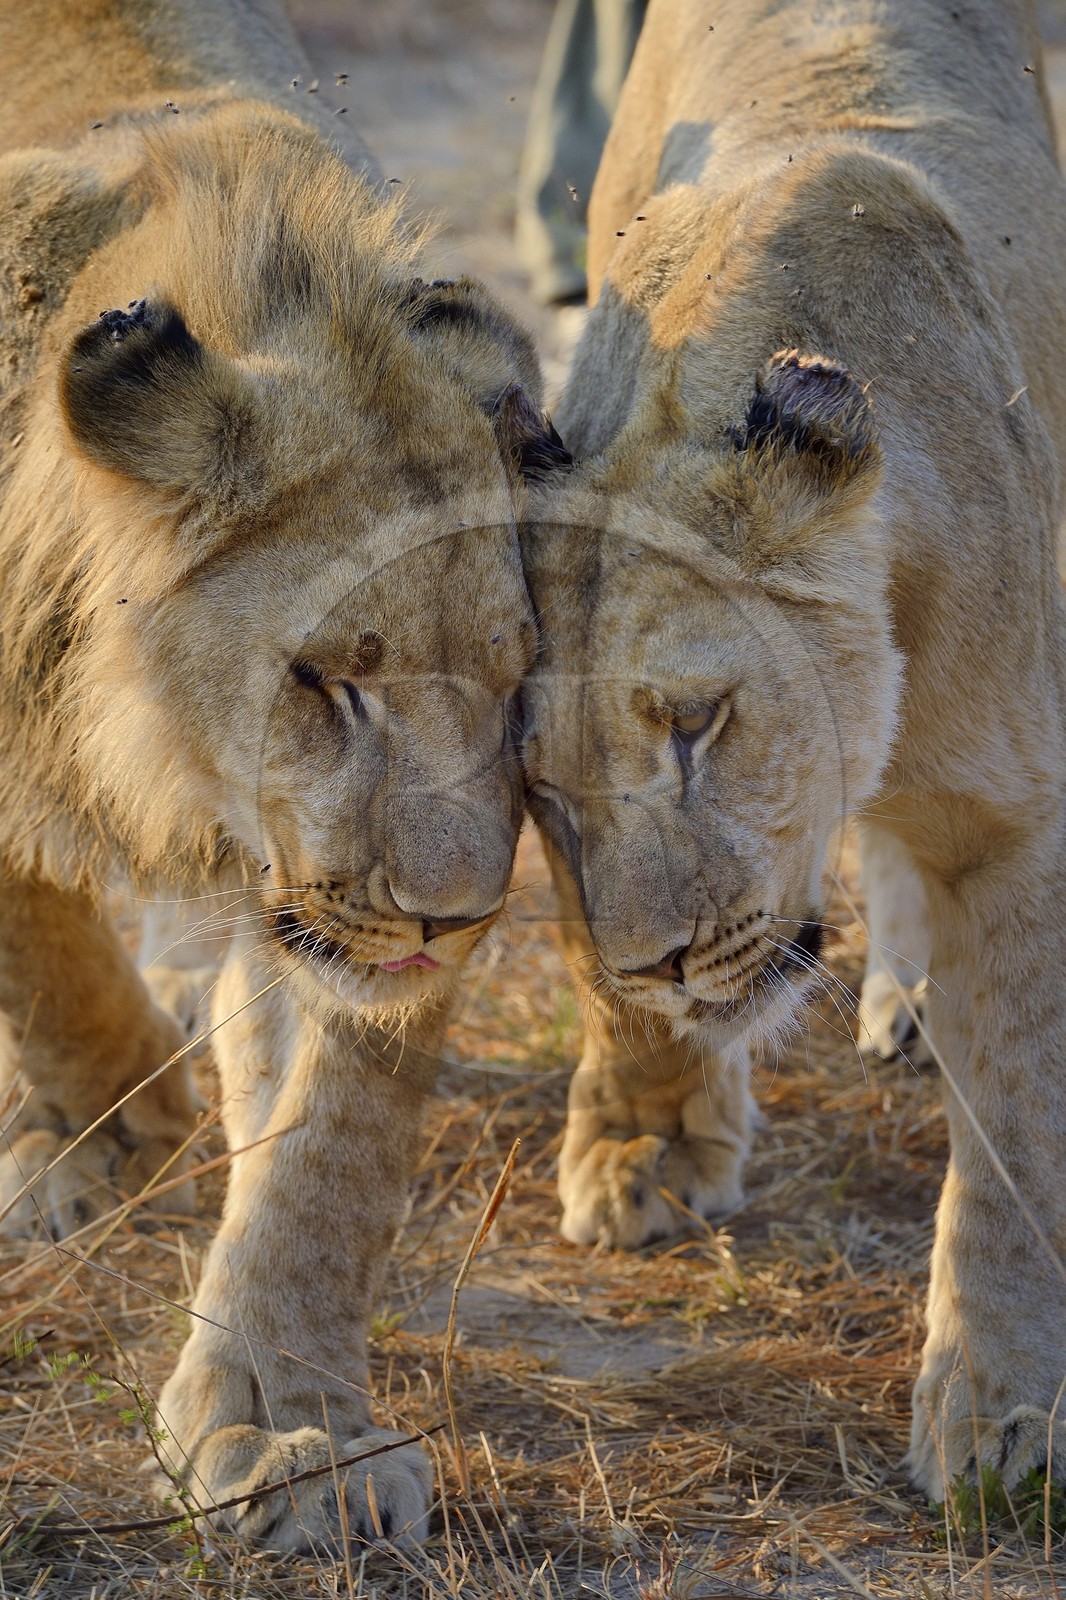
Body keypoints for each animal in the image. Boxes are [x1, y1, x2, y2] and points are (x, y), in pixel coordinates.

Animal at [0, 0, 569, 1551]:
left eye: (516, 676)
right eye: (326, 678)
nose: (455, 921)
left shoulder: (334, 920)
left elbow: (333, 1151)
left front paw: (285, 1427)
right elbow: (37, 939)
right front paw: (116, 1122)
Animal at [522, 0, 1066, 1502]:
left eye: (693, 721)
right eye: (548, 795)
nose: (663, 956)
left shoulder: (1018, 816)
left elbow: (1016, 1122)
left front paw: (999, 1411)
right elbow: (599, 981)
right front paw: (642, 1141)